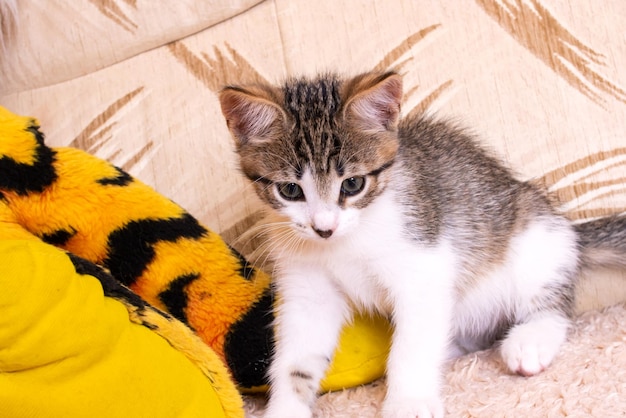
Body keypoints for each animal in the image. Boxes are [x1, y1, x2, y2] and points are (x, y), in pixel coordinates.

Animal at [218, 72, 624, 418]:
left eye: (353, 184)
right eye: (290, 190)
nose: (324, 228)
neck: (345, 242)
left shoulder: (424, 264)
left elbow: (412, 344)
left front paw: (408, 401)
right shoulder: (307, 288)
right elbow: (297, 358)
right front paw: (286, 407)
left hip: (535, 236)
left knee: (552, 303)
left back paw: (532, 339)